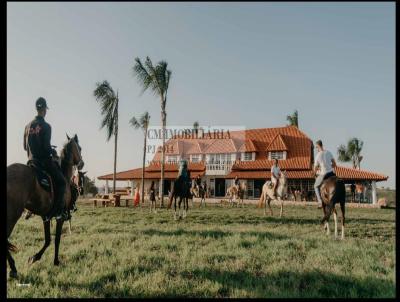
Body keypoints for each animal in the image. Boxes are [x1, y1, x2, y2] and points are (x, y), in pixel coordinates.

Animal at [7, 133, 84, 280]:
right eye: (80, 148)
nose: (82, 163)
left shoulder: (46, 217)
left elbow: (48, 239)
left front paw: (34, 257)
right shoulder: (60, 217)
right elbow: (57, 239)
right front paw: (56, 261)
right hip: (12, 216)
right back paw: (13, 269)